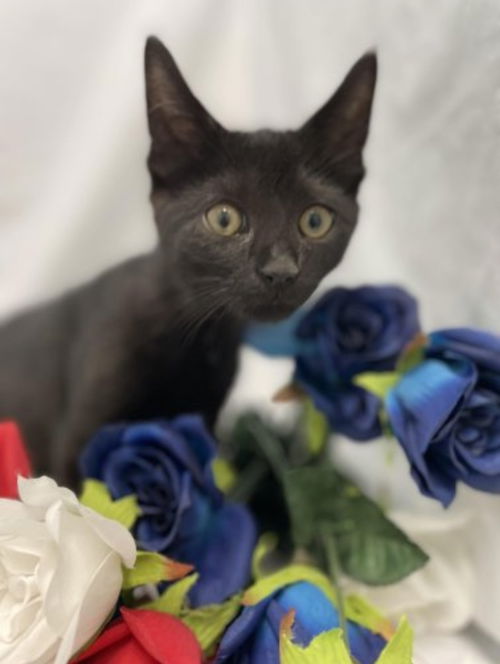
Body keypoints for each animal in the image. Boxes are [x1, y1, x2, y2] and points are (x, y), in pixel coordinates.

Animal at [0, 37, 376, 482]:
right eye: (224, 219)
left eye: (315, 221)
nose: (280, 271)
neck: (193, 334)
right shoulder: (79, 439)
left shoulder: (203, 423)